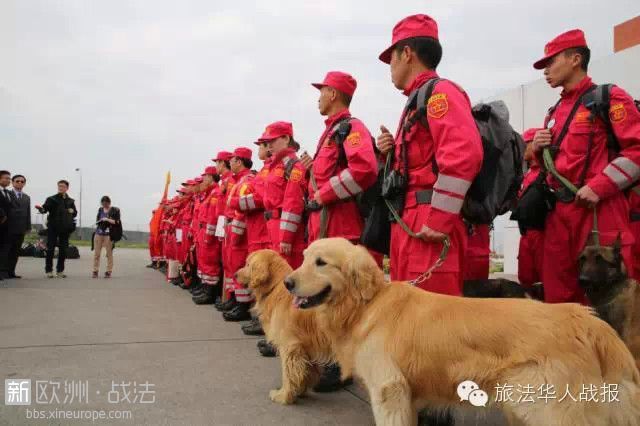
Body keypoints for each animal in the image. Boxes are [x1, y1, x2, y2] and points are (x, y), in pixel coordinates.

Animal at [236, 251, 336, 404]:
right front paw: (300, 391)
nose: (235, 274)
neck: (276, 287)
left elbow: (288, 373)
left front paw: (283, 395)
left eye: (248, 264)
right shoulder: (306, 348)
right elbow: (306, 372)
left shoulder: (289, 346)